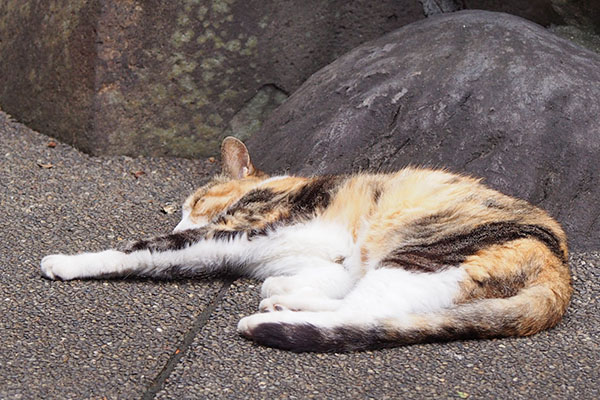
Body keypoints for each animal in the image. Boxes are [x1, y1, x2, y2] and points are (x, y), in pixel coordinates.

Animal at [42, 138, 572, 354]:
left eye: (195, 203)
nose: (180, 217)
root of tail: (560, 278)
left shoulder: (241, 230)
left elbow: (146, 250)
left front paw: (64, 261)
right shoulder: (330, 257)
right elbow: (321, 276)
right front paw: (283, 286)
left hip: (422, 254)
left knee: (367, 316)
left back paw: (265, 322)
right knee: (371, 308)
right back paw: (281, 301)